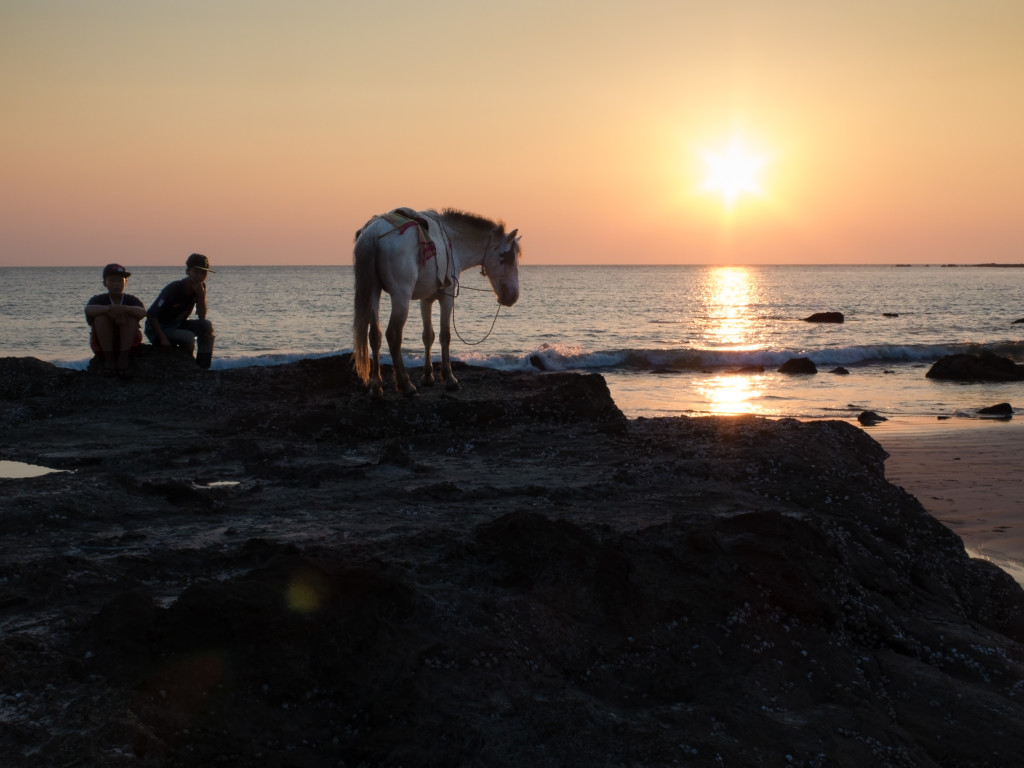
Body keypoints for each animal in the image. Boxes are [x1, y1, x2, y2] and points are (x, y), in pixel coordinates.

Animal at [352, 208, 521, 398]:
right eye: (509, 258)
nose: (513, 296)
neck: (453, 242)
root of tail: (372, 234)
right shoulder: (447, 296)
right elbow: (445, 335)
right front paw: (449, 378)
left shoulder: (426, 299)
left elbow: (428, 336)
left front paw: (428, 376)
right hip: (400, 296)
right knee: (393, 334)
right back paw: (406, 384)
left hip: (373, 291)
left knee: (375, 335)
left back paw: (376, 386)